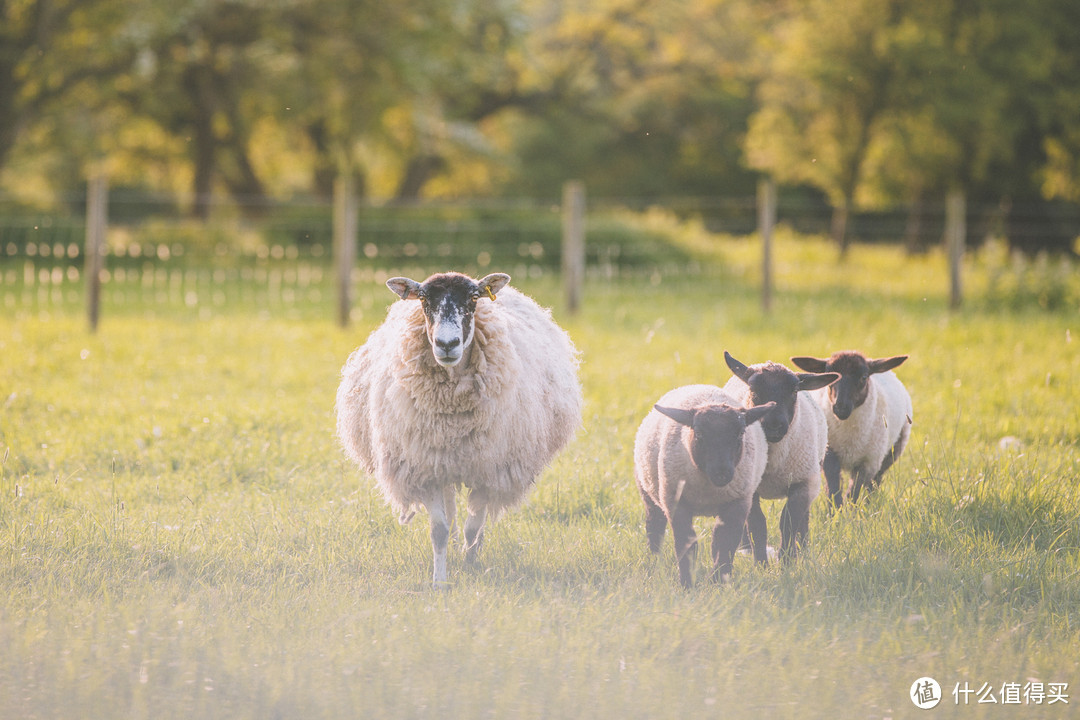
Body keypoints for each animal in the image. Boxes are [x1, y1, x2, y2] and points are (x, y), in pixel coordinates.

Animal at [336, 269, 583, 587]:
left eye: (474, 297)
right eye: (424, 298)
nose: (447, 344)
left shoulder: (487, 470)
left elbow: (473, 527)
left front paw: (471, 566)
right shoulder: (425, 468)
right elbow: (439, 530)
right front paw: (440, 581)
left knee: (474, 518)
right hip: (443, 463)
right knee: (451, 510)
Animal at [630, 386, 777, 587]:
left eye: (741, 433)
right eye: (699, 434)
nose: (722, 473)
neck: (708, 490)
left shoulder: (737, 503)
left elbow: (725, 542)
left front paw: (718, 580)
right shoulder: (676, 503)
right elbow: (686, 543)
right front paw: (687, 583)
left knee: (752, 527)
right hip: (649, 490)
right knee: (655, 526)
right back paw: (653, 560)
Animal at [721, 351, 838, 565]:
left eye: (794, 391)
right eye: (753, 390)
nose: (774, 425)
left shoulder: (801, 484)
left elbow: (789, 522)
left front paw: (787, 561)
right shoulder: (751, 488)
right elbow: (757, 524)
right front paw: (761, 563)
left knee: (804, 518)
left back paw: (803, 548)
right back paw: (744, 548)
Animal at [786, 349, 911, 507]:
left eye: (864, 377)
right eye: (830, 374)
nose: (840, 408)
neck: (848, 436)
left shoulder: (868, 461)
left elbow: (854, 491)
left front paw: (851, 511)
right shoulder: (830, 453)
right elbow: (833, 487)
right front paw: (835, 510)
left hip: (891, 451)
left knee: (874, 483)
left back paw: (869, 505)